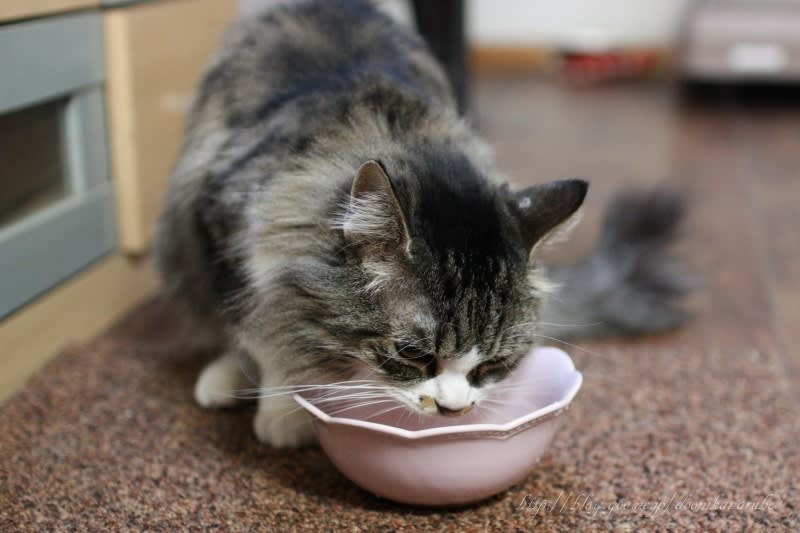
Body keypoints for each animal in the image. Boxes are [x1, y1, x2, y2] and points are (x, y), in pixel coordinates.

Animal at [155, 0, 688, 446]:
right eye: (413, 354)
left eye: (492, 364)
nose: (452, 410)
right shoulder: (225, 230)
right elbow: (260, 332)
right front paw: (284, 413)